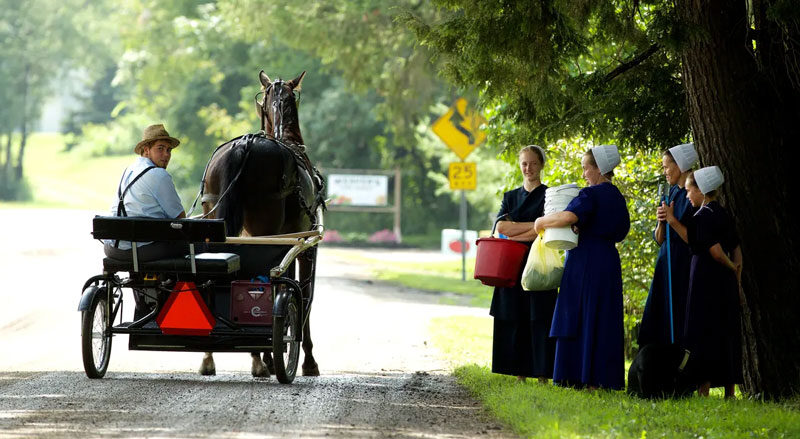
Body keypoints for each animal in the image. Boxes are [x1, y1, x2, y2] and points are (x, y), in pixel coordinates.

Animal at [198, 71, 324, 378]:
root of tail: (245, 145)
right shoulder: (305, 247)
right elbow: (303, 294)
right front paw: (308, 360)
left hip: (215, 219)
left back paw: (210, 355)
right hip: (264, 230)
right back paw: (261, 358)